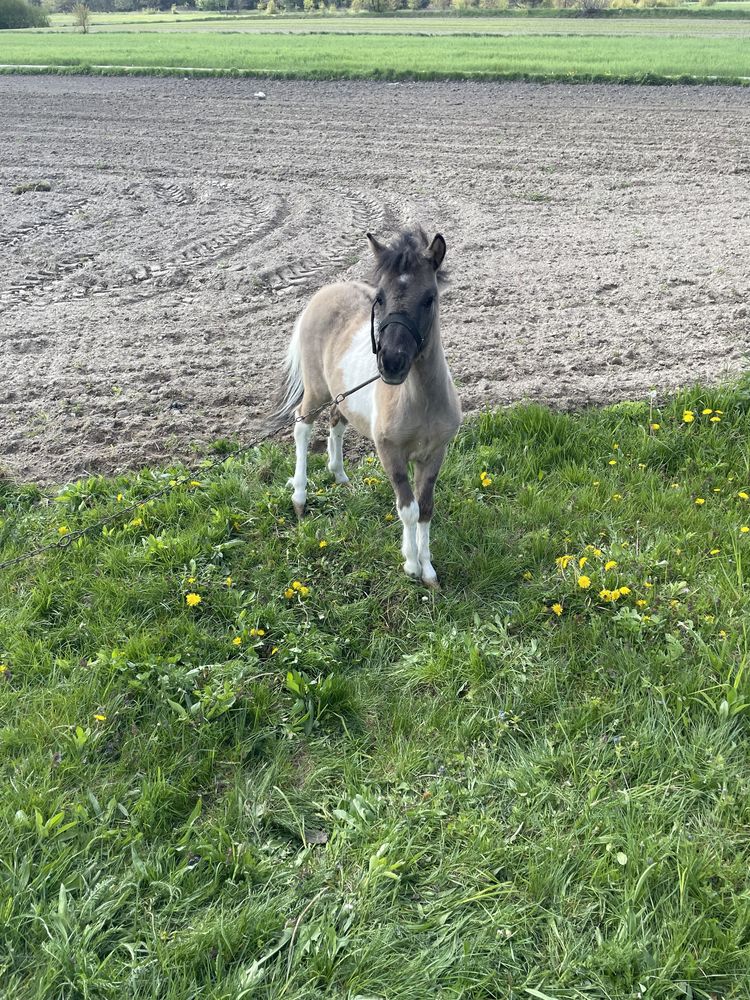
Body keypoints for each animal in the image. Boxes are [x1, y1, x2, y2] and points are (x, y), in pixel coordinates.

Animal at [276, 227, 464, 584]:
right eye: (380, 297)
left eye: (429, 298)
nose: (391, 362)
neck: (419, 402)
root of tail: (326, 291)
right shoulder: (389, 451)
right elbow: (408, 508)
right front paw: (411, 565)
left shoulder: (435, 454)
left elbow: (426, 507)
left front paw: (429, 571)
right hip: (316, 390)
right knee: (302, 426)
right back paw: (300, 497)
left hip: (342, 394)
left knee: (336, 422)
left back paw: (339, 476)